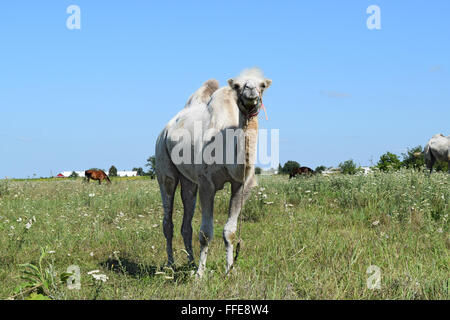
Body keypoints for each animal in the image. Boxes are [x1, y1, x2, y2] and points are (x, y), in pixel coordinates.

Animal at [155, 68, 272, 278]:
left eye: (262, 85)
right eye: (237, 86)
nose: (250, 91)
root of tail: (166, 129)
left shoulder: (241, 185)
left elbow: (230, 231)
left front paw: (229, 270)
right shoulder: (206, 184)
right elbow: (206, 233)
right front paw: (200, 274)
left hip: (189, 180)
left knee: (186, 223)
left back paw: (191, 262)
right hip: (163, 164)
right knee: (168, 220)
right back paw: (171, 265)